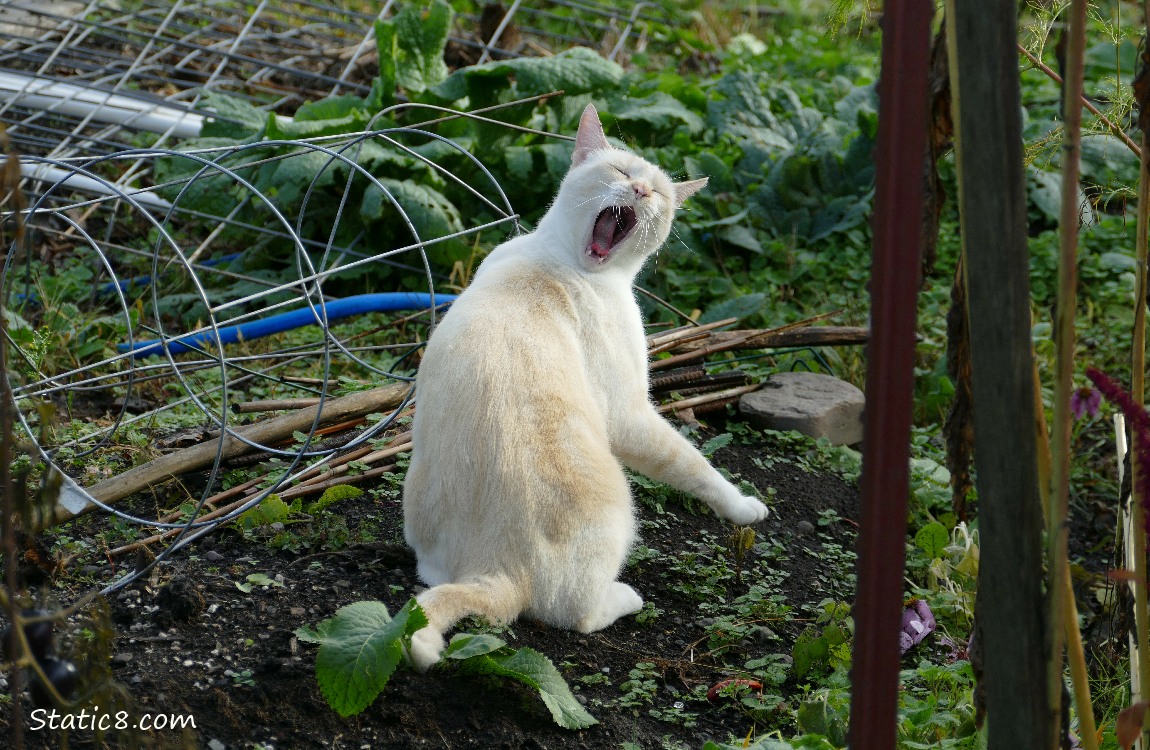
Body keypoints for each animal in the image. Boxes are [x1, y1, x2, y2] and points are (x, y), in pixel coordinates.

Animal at [400, 102, 768, 671]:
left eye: (658, 192)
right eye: (620, 171)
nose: (639, 191)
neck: (560, 259)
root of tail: (496, 569)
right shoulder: (631, 412)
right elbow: (696, 466)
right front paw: (746, 507)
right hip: (618, 508)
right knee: (578, 614)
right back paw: (627, 596)